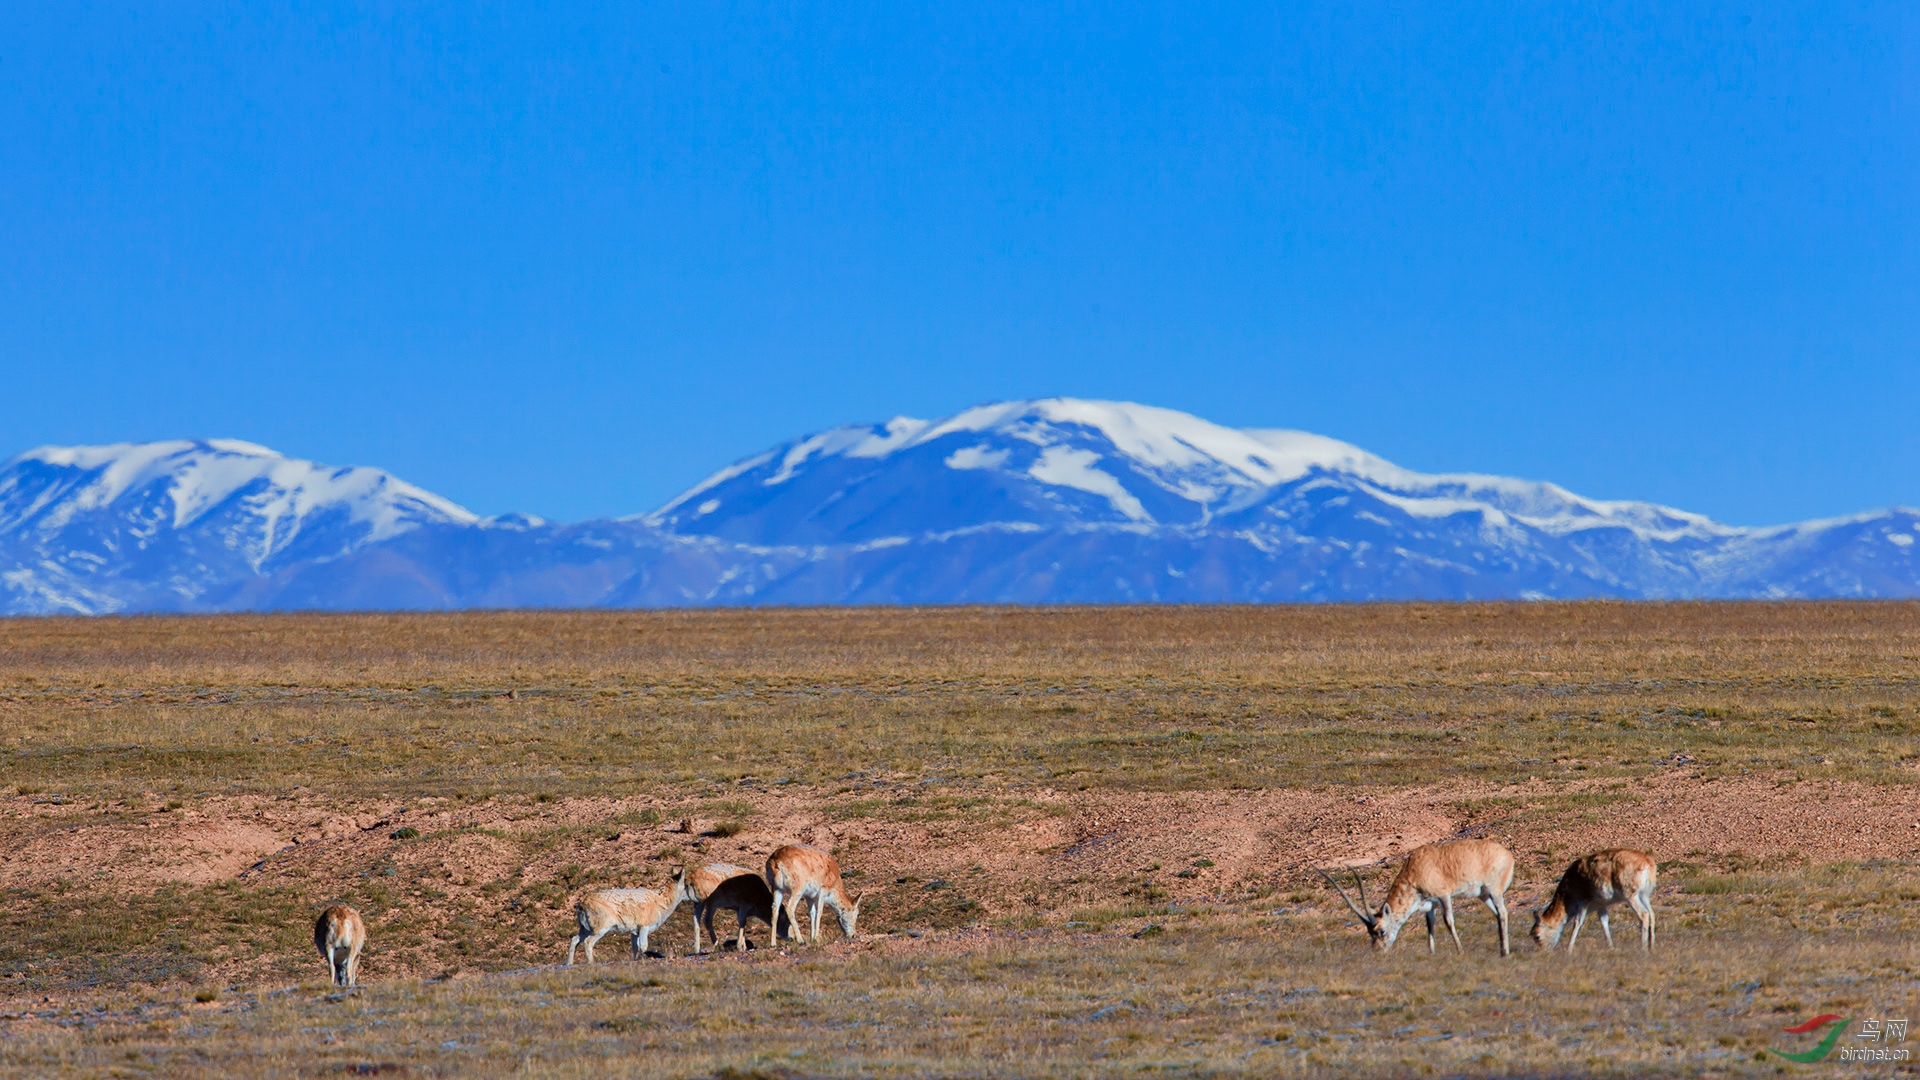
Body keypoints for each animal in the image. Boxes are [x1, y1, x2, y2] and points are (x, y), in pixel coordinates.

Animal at [564, 860, 695, 960]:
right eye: (687, 884)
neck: (662, 901)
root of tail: (582, 903)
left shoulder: (634, 932)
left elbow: (635, 949)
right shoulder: (644, 927)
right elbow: (644, 946)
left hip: (585, 928)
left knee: (574, 940)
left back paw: (569, 964)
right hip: (600, 928)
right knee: (588, 942)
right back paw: (591, 963)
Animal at [1320, 834, 1512, 949]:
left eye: (1381, 931)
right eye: (1370, 932)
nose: (1377, 950)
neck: (1414, 869)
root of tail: (1507, 855)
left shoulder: (1443, 896)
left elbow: (1448, 921)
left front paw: (1460, 950)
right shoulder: (1430, 904)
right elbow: (1430, 925)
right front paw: (1432, 953)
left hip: (1494, 891)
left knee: (1502, 912)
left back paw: (1505, 951)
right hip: (1484, 894)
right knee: (1498, 914)